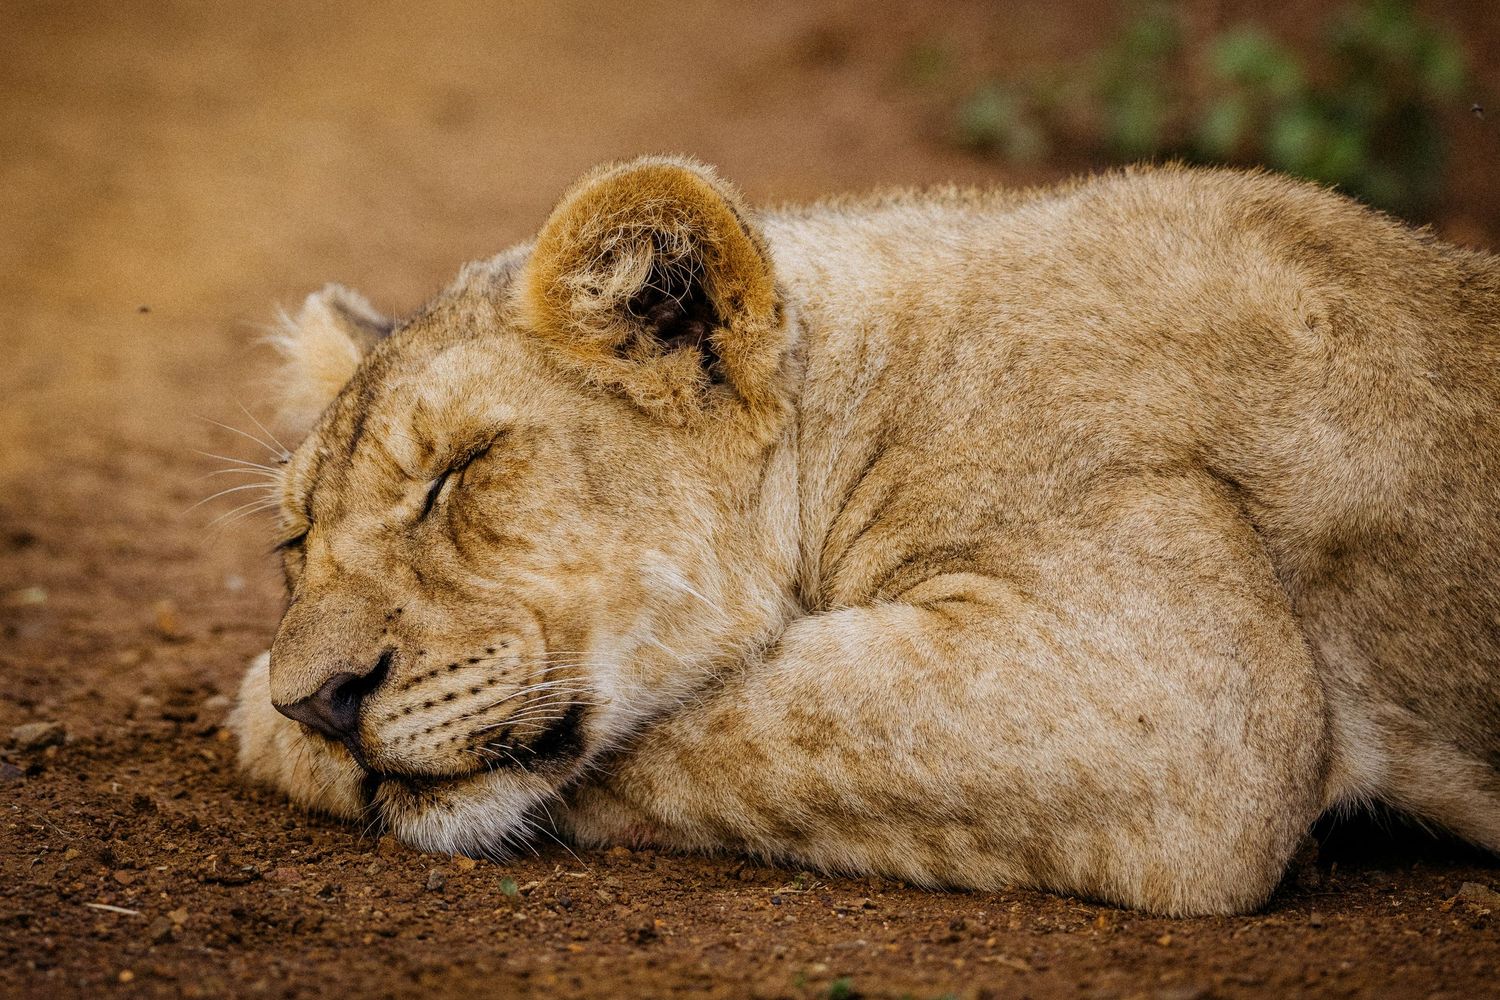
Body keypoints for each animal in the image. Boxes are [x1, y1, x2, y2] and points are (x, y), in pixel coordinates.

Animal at [228, 156, 1500, 915]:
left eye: (457, 474)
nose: (318, 701)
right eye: (295, 542)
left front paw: (262, 718)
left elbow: (744, 714)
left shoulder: (1183, 701)